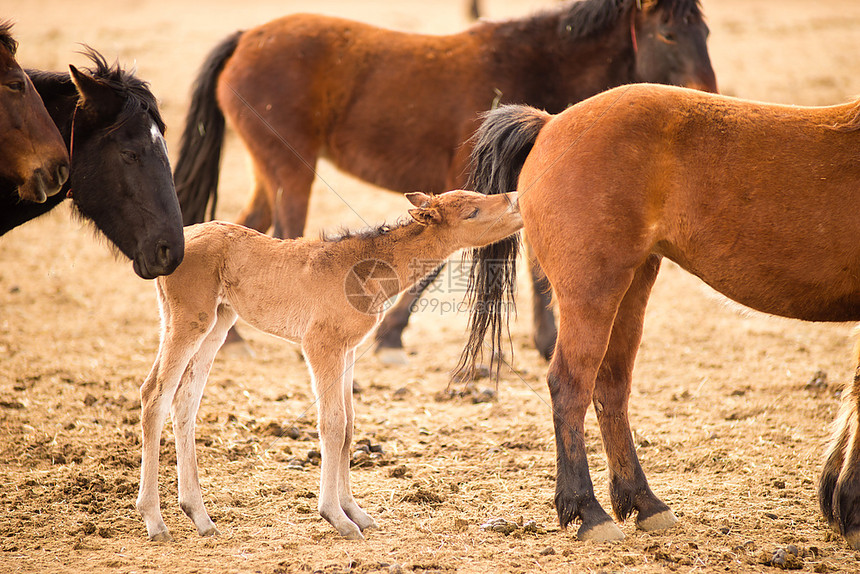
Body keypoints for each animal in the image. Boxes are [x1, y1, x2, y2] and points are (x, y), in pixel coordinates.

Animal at [138, 191, 520, 544]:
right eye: (472, 211)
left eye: (477, 195)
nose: (515, 199)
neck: (363, 269)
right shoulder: (321, 345)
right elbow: (332, 425)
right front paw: (337, 518)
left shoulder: (347, 350)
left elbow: (349, 426)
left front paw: (356, 511)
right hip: (190, 321)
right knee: (154, 394)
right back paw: (155, 521)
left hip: (218, 321)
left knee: (184, 401)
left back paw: (200, 517)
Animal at [171, 0, 716, 362]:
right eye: (669, 35)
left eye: (706, 33)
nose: (707, 98)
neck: (530, 64)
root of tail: (247, 37)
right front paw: (391, 335)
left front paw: (545, 341)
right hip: (291, 172)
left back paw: (232, 338)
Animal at [460, 84, 860, 548]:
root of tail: (550, 123)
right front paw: (850, 508)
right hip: (592, 293)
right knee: (570, 386)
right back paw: (587, 510)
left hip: (631, 287)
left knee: (611, 388)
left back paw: (643, 502)